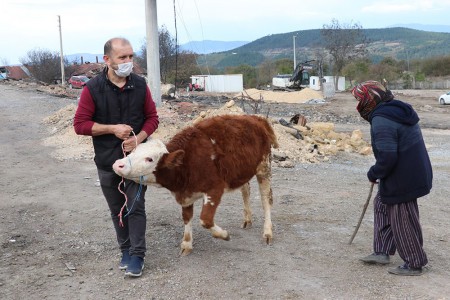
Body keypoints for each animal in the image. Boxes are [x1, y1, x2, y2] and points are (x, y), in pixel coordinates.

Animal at [111, 113, 278, 254]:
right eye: (133, 151)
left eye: (149, 159)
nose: (118, 164)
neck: (188, 161)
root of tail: (256, 118)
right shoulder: (185, 194)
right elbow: (187, 217)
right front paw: (186, 244)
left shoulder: (215, 189)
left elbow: (205, 220)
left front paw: (224, 235)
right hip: (243, 171)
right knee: (245, 190)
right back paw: (247, 219)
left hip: (264, 167)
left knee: (266, 199)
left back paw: (268, 232)